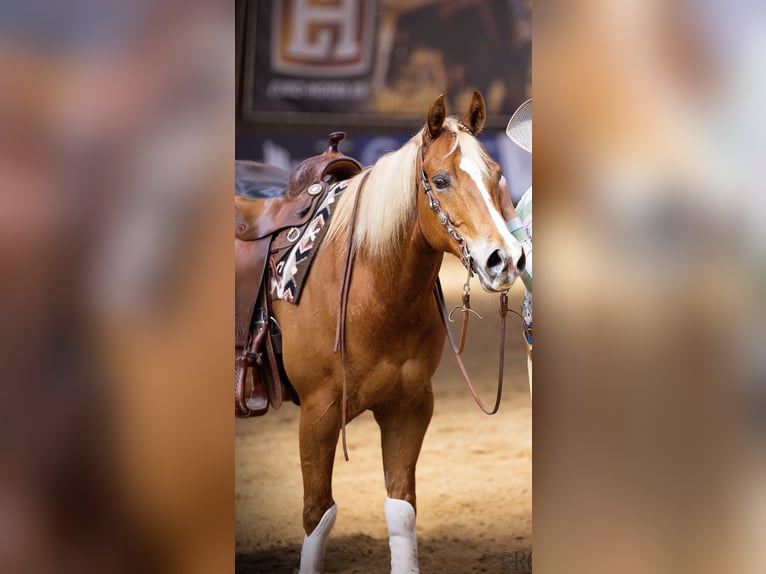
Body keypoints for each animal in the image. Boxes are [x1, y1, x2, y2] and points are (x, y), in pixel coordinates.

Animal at [238, 92, 525, 573]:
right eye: (441, 181)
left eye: (497, 175)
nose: (505, 259)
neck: (374, 287)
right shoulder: (318, 412)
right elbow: (318, 514)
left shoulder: (409, 406)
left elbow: (401, 510)